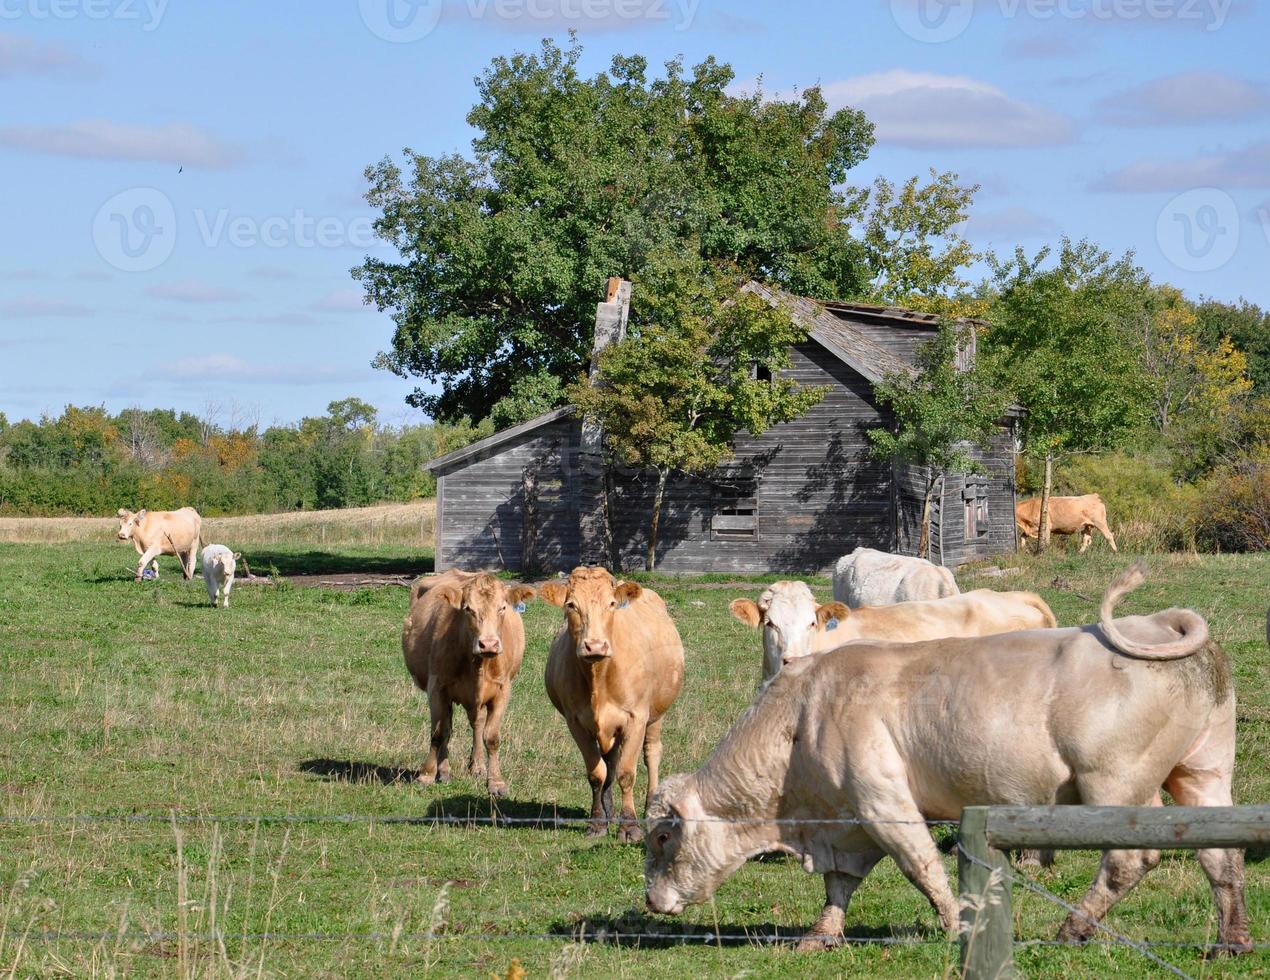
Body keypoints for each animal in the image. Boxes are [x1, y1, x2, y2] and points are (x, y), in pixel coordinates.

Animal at [398, 571, 533, 802]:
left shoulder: (502, 691)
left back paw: (477, 766)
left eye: (502, 607)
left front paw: (496, 782)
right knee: (448, 726)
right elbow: (438, 732)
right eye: (468, 609)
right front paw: (426, 775)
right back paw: (444, 771)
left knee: (476, 724)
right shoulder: (437, 688)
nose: (488, 644)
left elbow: (492, 737)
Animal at [543, 566, 690, 842]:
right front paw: (597, 822)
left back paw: (650, 807)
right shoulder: (575, 722)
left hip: (656, 714)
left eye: (611, 604)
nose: (595, 645)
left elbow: (626, 773)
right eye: (571, 605)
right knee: (609, 761)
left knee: (652, 753)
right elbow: (596, 773)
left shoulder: (636, 718)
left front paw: (629, 826)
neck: (599, 675)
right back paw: (609, 810)